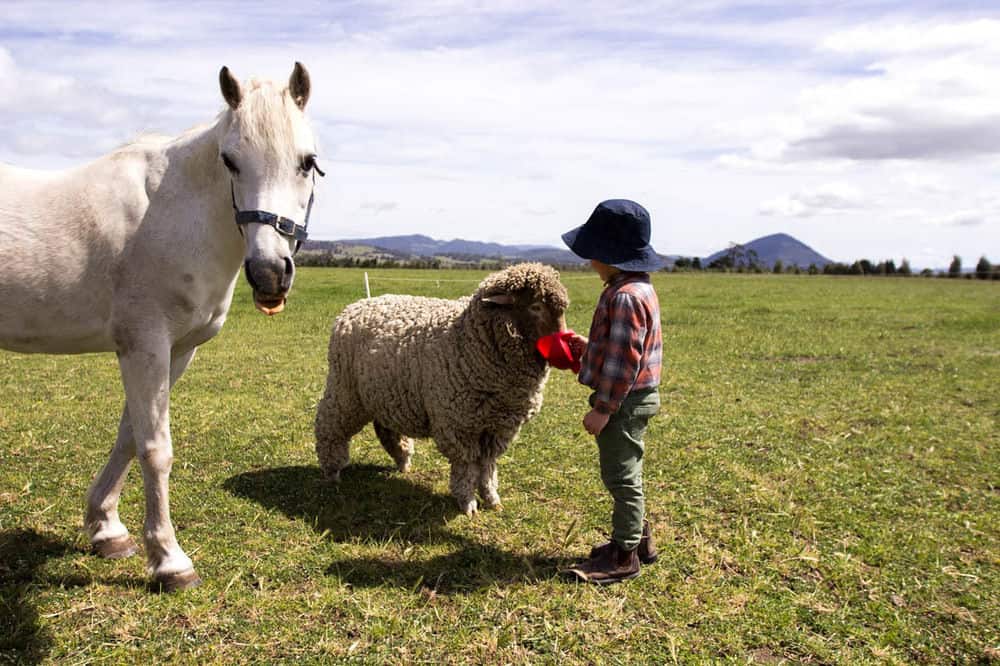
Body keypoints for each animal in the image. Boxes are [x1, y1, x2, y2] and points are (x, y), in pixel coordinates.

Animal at [0, 63, 322, 592]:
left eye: (307, 162)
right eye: (230, 160)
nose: (269, 273)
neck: (173, 212)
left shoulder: (177, 350)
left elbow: (129, 435)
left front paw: (106, 529)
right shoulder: (144, 345)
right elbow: (155, 448)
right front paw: (170, 560)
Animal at [316, 262, 568, 510]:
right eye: (536, 307)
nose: (565, 348)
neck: (469, 338)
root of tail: (357, 305)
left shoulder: (498, 426)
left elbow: (487, 466)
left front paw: (491, 498)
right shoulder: (458, 424)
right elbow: (467, 465)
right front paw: (467, 501)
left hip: (385, 393)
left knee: (386, 428)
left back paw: (403, 461)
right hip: (344, 390)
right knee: (329, 426)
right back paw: (332, 472)